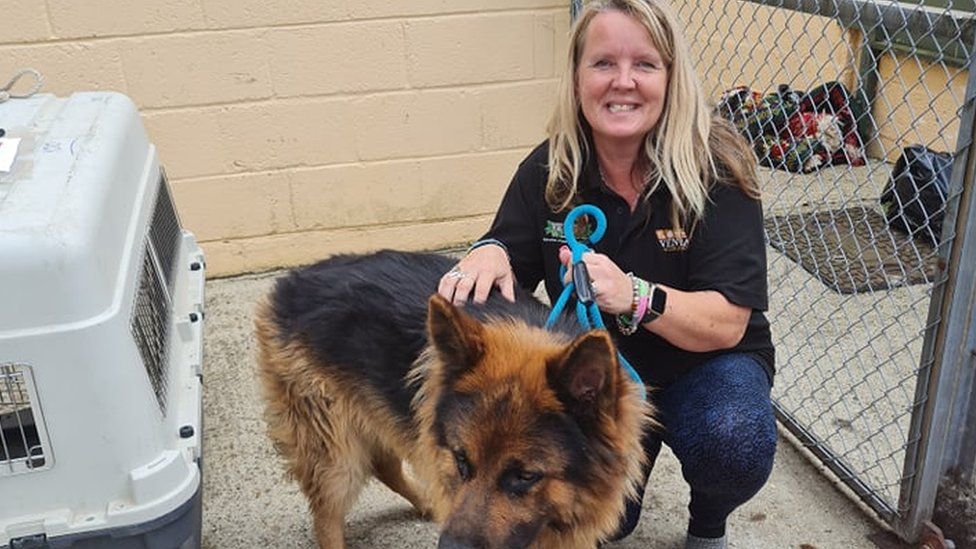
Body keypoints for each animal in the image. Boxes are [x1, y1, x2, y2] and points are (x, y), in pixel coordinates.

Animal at [255, 250, 652, 544]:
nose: (449, 546)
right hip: (334, 452)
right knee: (328, 514)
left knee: (385, 463)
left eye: (525, 476)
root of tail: (291, 282)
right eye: (462, 459)